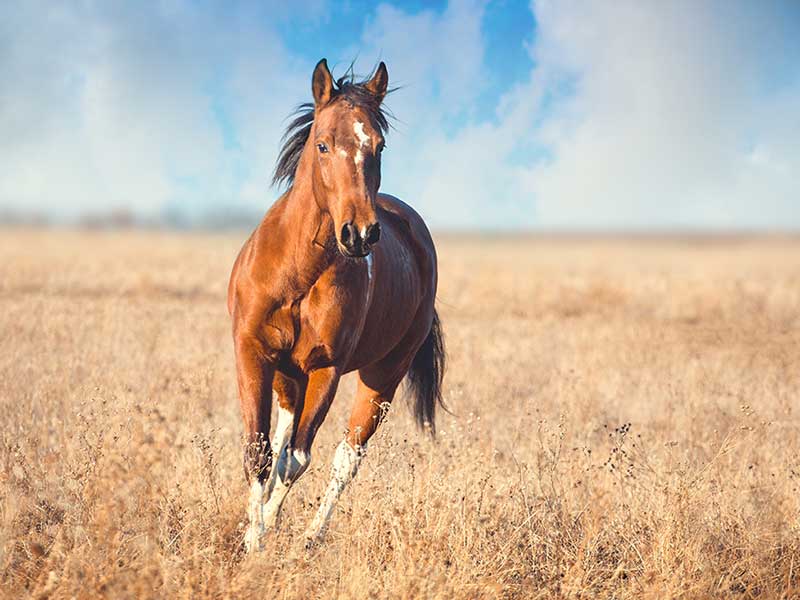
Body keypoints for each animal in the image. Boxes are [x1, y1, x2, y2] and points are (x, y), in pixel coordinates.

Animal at [227, 58, 445, 552]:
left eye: (379, 145)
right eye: (323, 144)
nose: (359, 234)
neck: (297, 274)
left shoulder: (325, 369)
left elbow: (297, 460)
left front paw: (263, 536)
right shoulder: (254, 353)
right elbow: (260, 453)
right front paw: (253, 537)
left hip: (381, 377)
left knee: (347, 457)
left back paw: (310, 537)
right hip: (288, 376)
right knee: (282, 440)